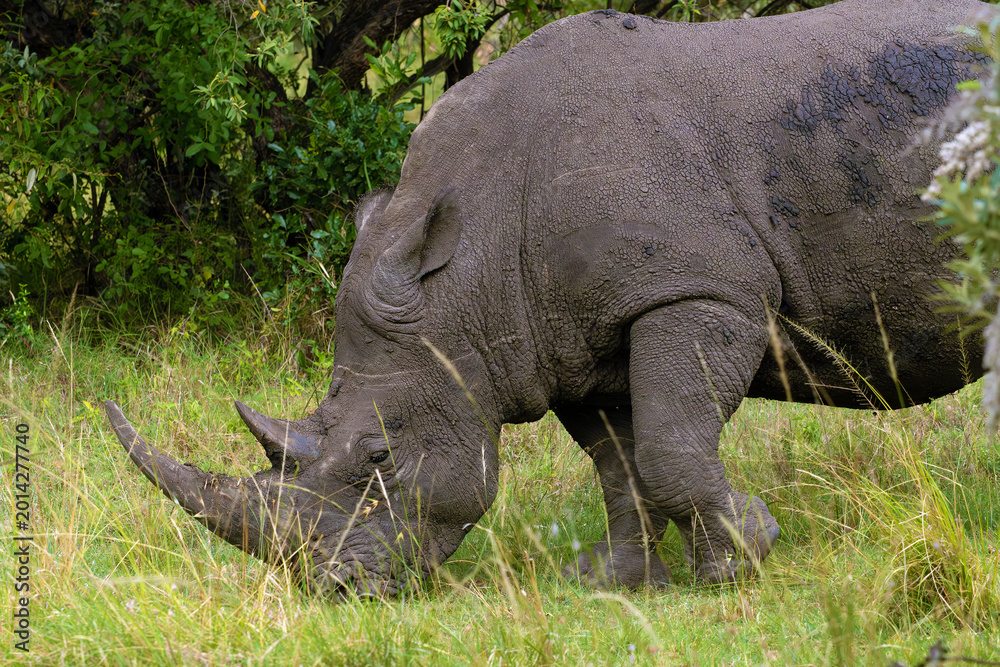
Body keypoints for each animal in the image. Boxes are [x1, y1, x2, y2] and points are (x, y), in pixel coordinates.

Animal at [107, 0, 995, 595]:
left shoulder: (696, 290)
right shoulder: (566, 338)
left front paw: (742, 560)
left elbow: (670, 445)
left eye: (379, 455)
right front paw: (613, 580)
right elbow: (623, 464)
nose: (338, 589)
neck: (469, 261)